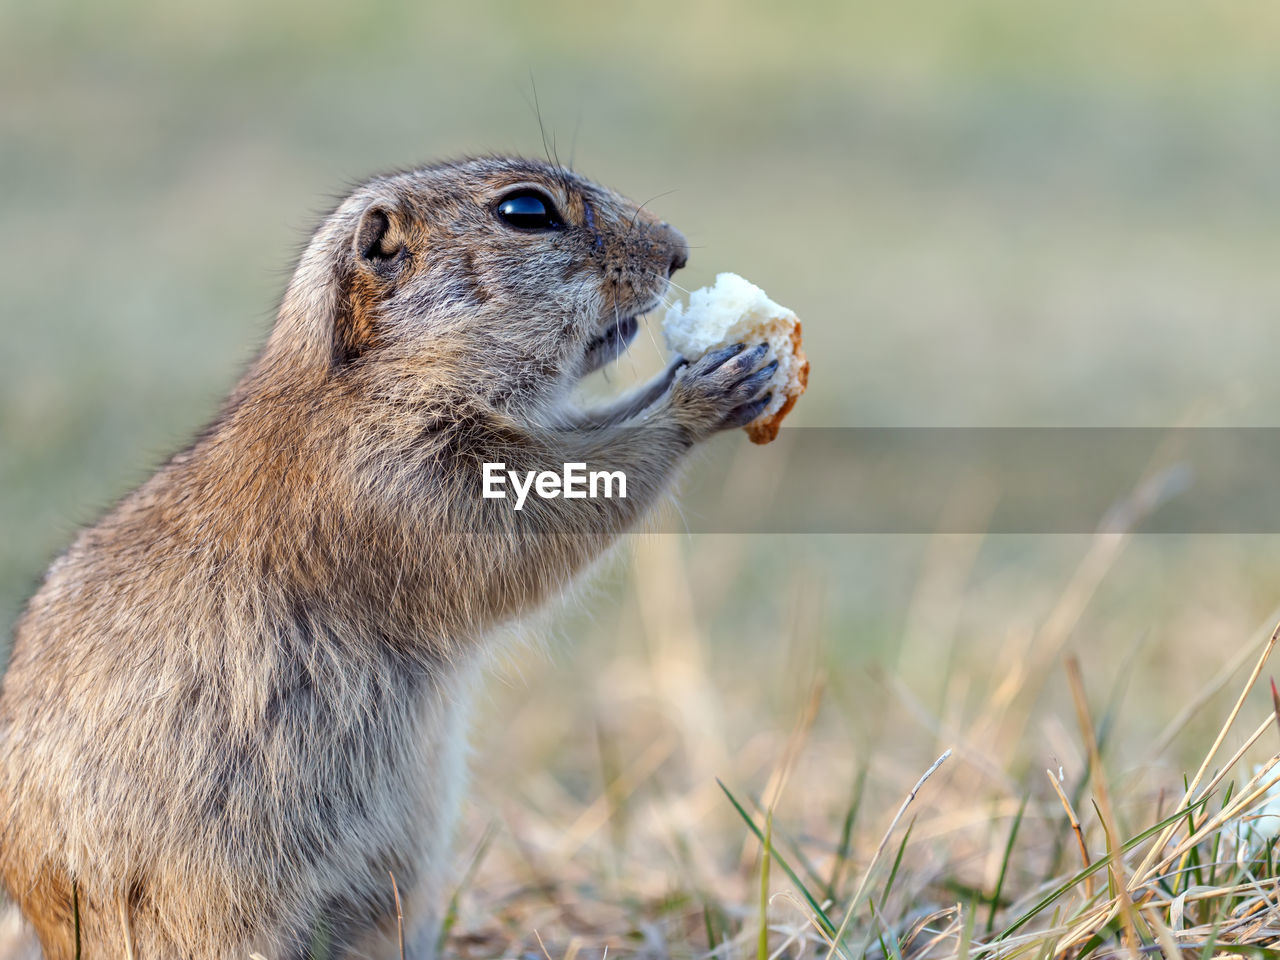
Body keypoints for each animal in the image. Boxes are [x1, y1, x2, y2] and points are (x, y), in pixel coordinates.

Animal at [0, 160, 778, 960]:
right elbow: (536, 518)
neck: (368, 379)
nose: (678, 250)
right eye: (526, 212)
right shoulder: (399, 479)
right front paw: (705, 393)